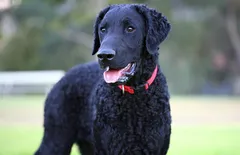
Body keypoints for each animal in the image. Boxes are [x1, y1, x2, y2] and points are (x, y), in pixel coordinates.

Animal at [35, 3, 171, 155]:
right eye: (103, 29)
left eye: (130, 28)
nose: (104, 55)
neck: (133, 97)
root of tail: (63, 77)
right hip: (56, 139)